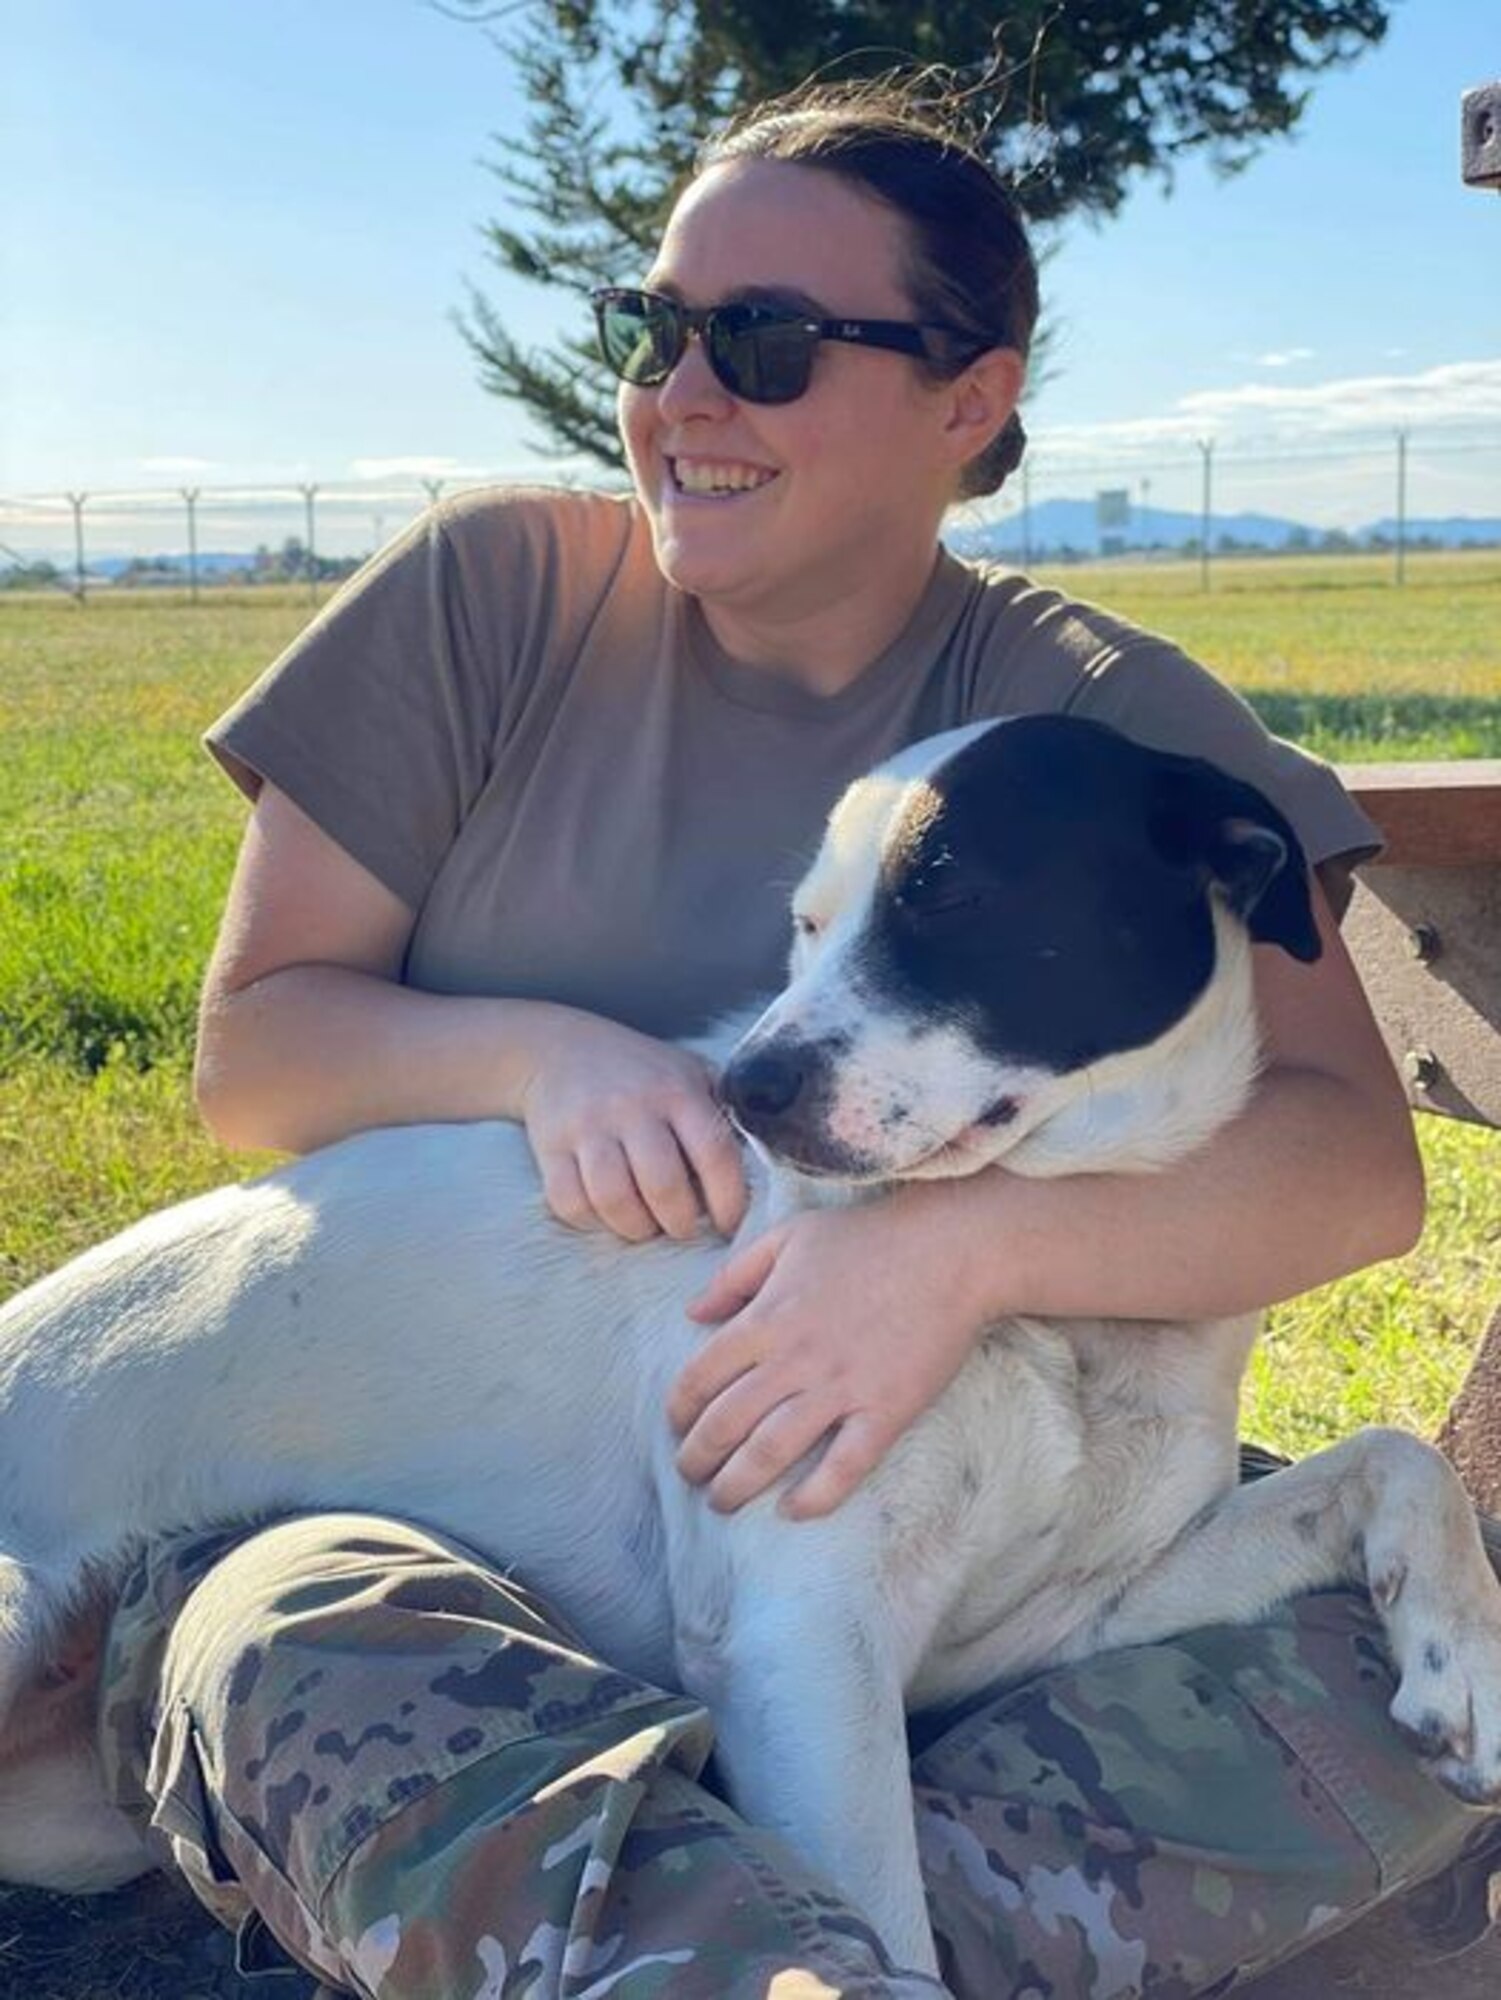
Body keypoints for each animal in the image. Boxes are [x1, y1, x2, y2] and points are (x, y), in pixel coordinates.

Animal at [2, 712, 1501, 1976]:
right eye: (807, 924)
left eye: (949, 893)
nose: (744, 1089)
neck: (1049, 1300)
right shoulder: (804, 1648)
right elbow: (886, 1929)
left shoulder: (1078, 1613)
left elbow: (1394, 1458)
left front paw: (1462, 1662)